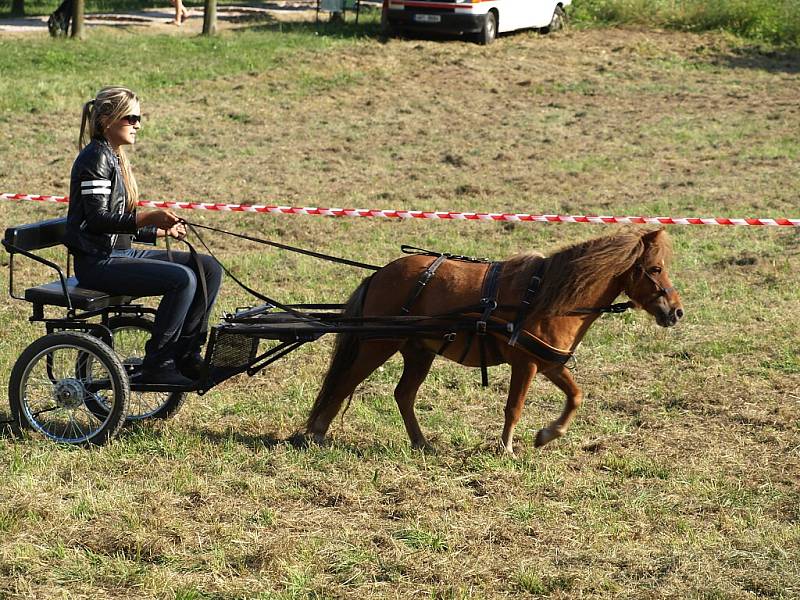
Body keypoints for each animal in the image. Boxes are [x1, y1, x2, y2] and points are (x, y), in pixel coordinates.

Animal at [304, 227, 680, 452]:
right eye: (656, 269)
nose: (676, 312)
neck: (546, 296)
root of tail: (379, 275)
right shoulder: (525, 364)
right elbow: (514, 407)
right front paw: (507, 447)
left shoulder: (549, 363)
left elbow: (575, 396)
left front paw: (546, 436)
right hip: (377, 344)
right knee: (344, 382)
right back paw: (317, 432)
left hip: (418, 351)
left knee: (403, 394)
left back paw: (421, 442)